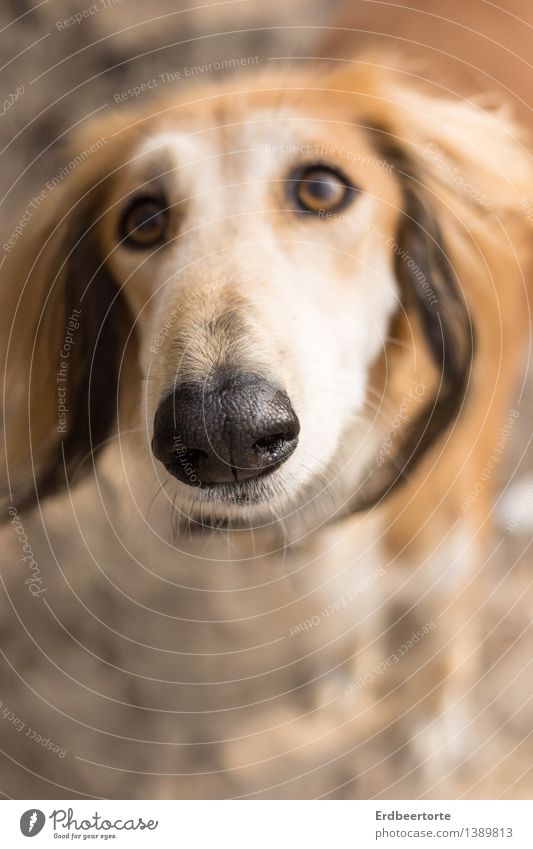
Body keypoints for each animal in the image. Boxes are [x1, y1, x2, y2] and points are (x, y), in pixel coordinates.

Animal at [1, 63, 532, 800]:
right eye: (143, 219)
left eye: (321, 187)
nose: (223, 432)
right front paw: (341, 671)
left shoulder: (448, 570)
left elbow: (439, 660)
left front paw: (432, 738)